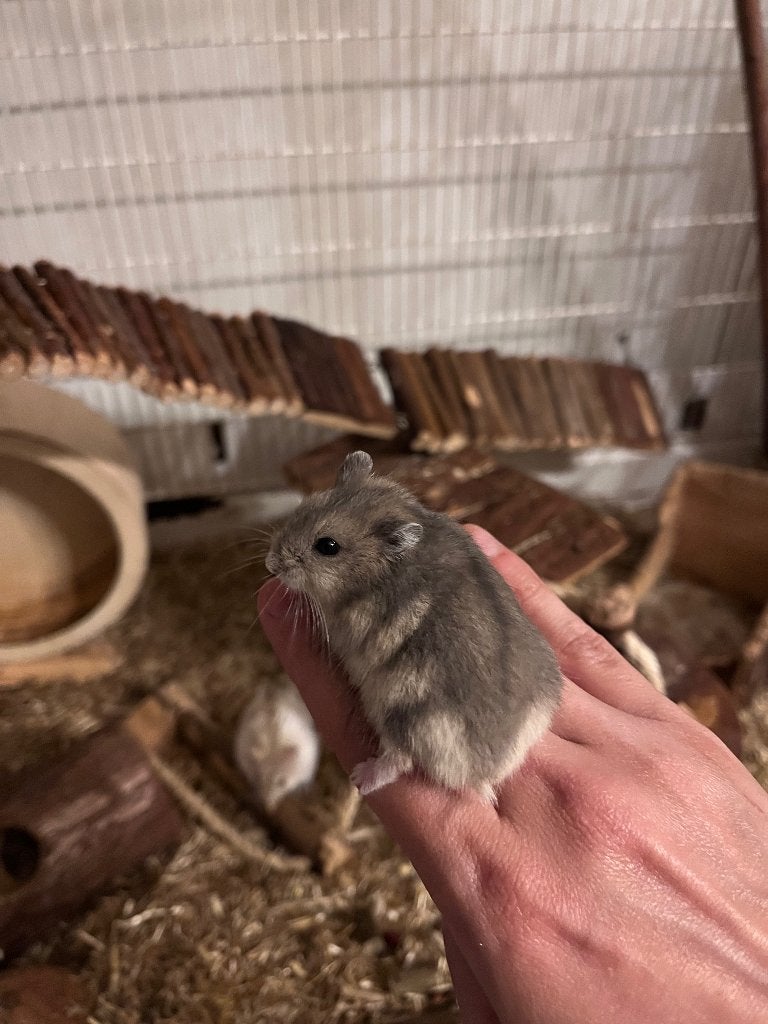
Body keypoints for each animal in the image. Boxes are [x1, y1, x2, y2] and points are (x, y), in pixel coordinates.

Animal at [265, 451, 562, 802]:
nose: (270, 564)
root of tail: (484, 774)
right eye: (304, 506)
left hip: (403, 713)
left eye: (327, 546)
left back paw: (362, 777)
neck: (376, 574)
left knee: (400, 760)